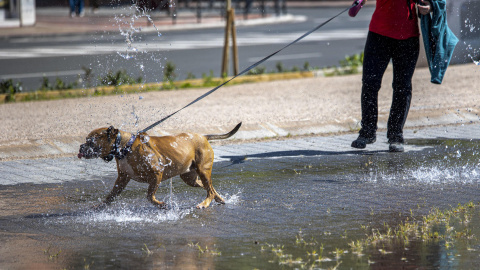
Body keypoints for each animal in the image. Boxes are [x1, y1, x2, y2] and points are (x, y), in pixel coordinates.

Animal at [79, 122, 244, 209]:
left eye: (91, 141)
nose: (81, 147)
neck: (126, 146)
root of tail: (203, 136)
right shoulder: (122, 179)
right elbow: (110, 196)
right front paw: (100, 207)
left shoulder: (156, 174)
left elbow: (149, 196)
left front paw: (162, 205)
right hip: (190, 178)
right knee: (210, 188)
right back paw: (219, 199)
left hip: (203, 170)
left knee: (209, 191)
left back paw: (204, 204)